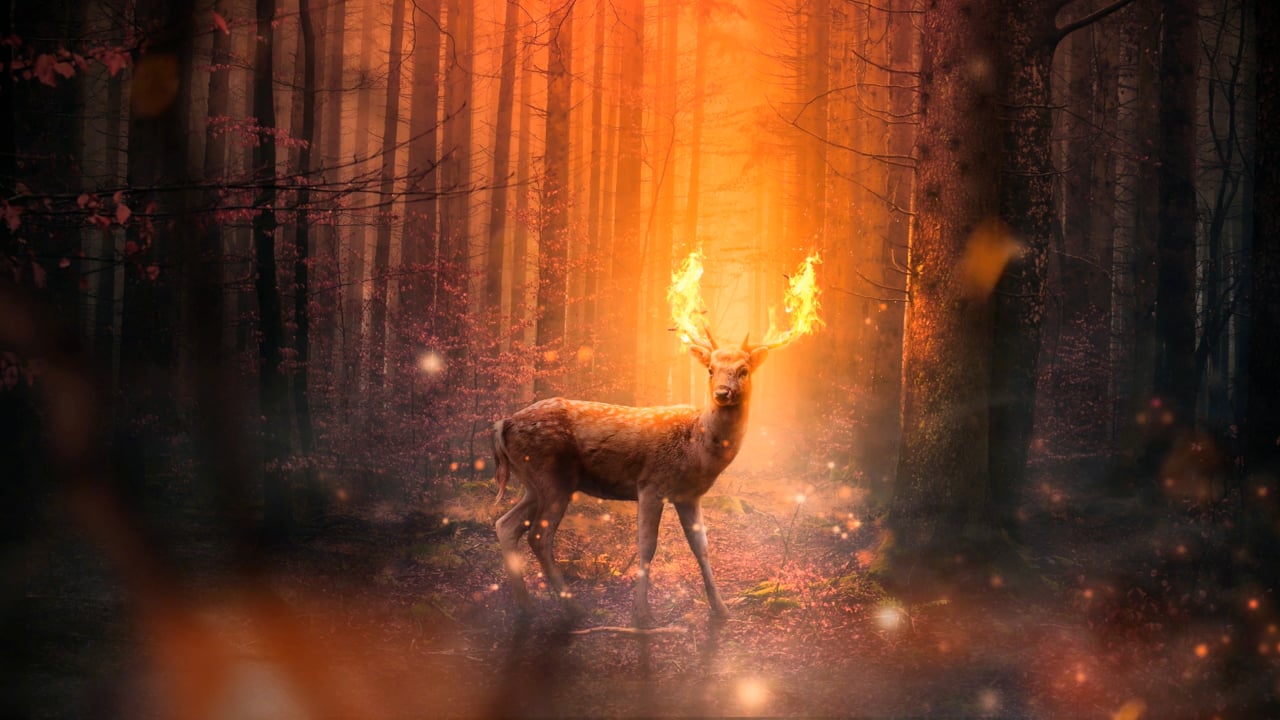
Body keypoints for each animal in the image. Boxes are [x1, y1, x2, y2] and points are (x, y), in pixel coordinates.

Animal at [491, 330, 775, 628]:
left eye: (743, 370)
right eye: (710, 369)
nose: (722, 392)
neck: (697, 447)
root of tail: (503, 424)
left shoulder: (689, 496)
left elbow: (702, 548)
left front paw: (721, 609)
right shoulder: (651, 485)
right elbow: (647, 545)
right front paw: (641, 614)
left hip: (533, 485)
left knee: (506, 525)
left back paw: (526, 607)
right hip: (553, 478)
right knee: (539, 535)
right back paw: (574, 609)